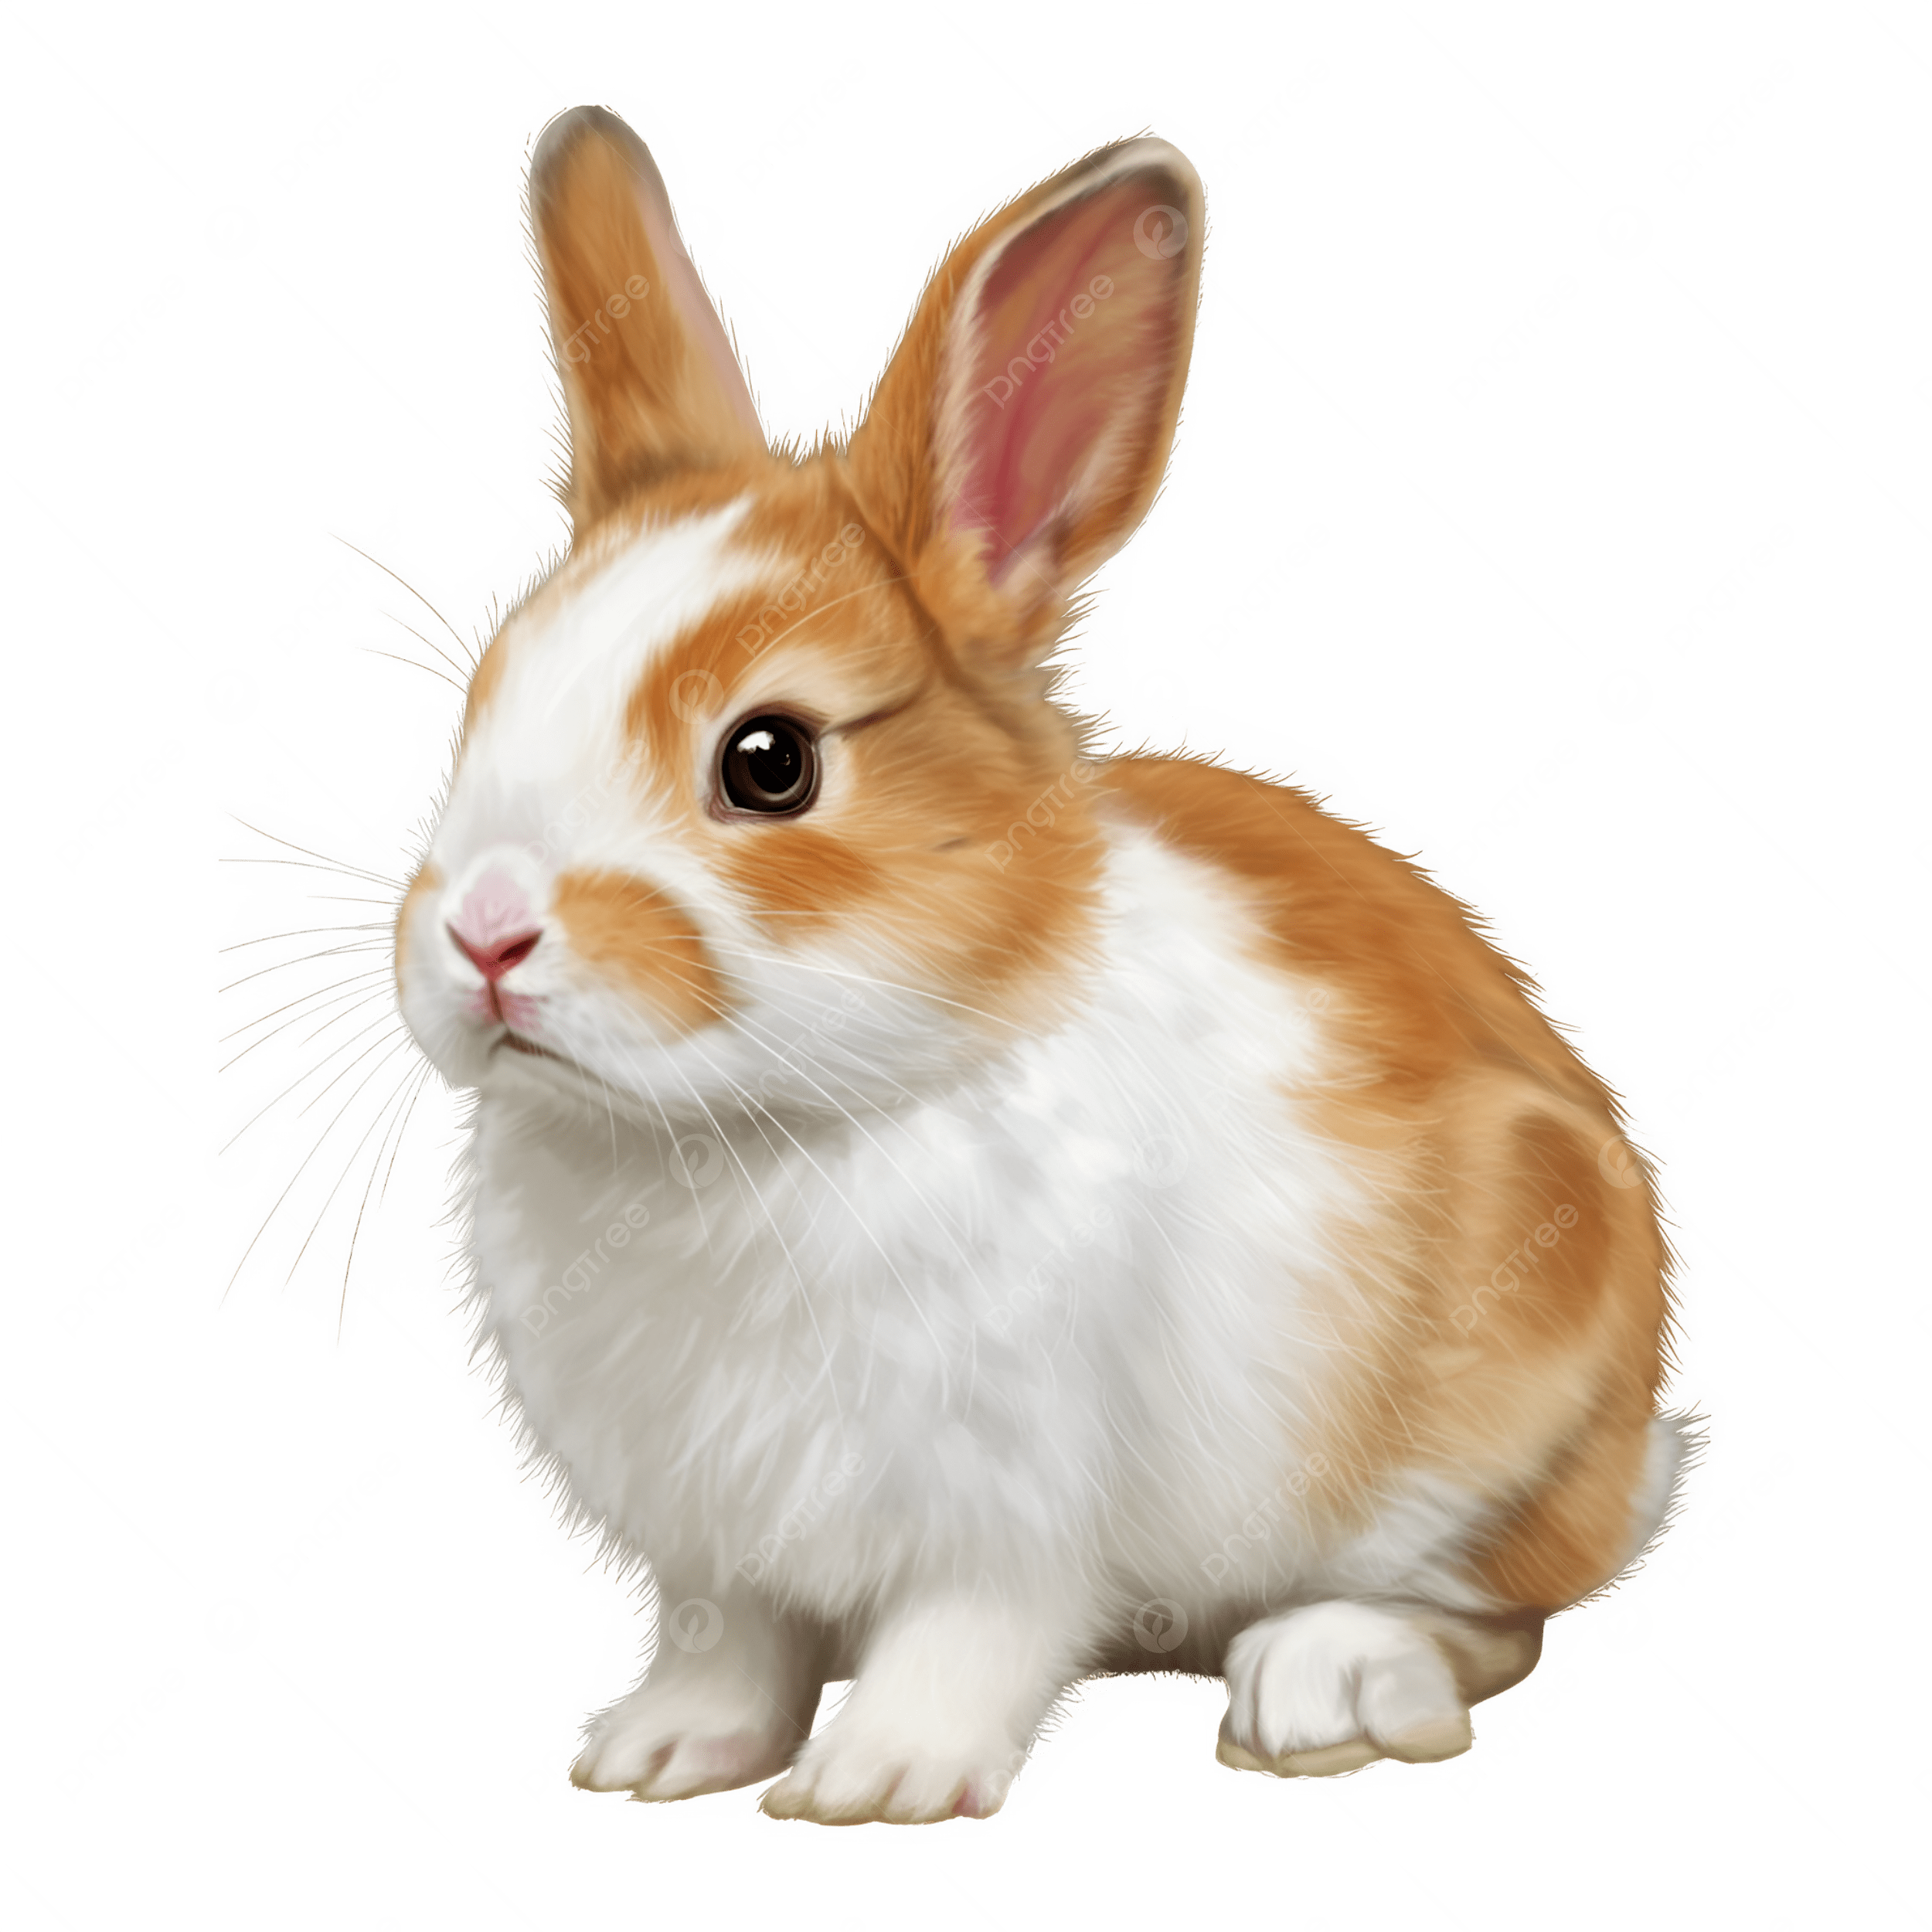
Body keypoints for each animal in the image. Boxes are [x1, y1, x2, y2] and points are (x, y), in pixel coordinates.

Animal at [390, 102, 1708, 1826]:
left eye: (768, 762)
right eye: (486, 700)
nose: (482, 929)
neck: (754, 1132)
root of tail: (1637, 1449)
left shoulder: (1006, 1521)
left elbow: (966, 1636)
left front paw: (873, 1781)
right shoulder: (718, 1561)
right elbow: (731, 1649)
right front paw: (656, 1757)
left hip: (1496, 1403)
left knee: (1493, 1598)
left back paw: (1323, 1688)